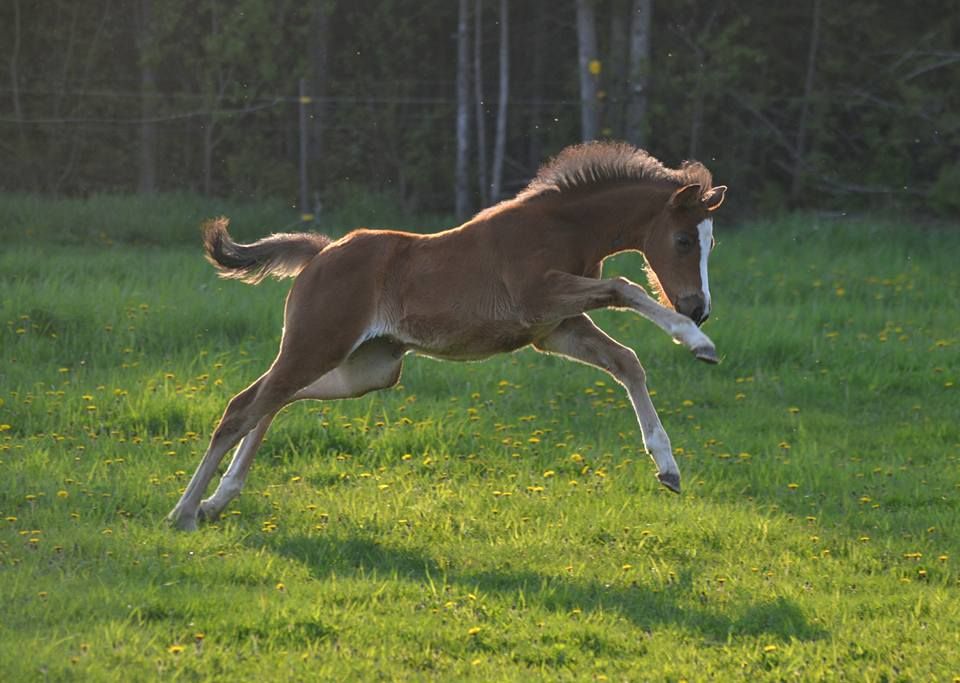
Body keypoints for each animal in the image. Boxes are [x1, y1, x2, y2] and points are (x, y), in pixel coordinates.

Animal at [167, 141, 726, 530]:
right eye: (682, 240)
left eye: (711, 243)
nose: (698, 309)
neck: (562, 227)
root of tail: (321, 252)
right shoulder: (542, 299)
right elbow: (623, 286)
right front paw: (697, 344)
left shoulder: (557, 328)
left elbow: (627, 360)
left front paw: (668, 468)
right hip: (317, 345)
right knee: (243, 406)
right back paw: (185, 511)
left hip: (369, 369)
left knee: (274, 401)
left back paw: (218, 500)